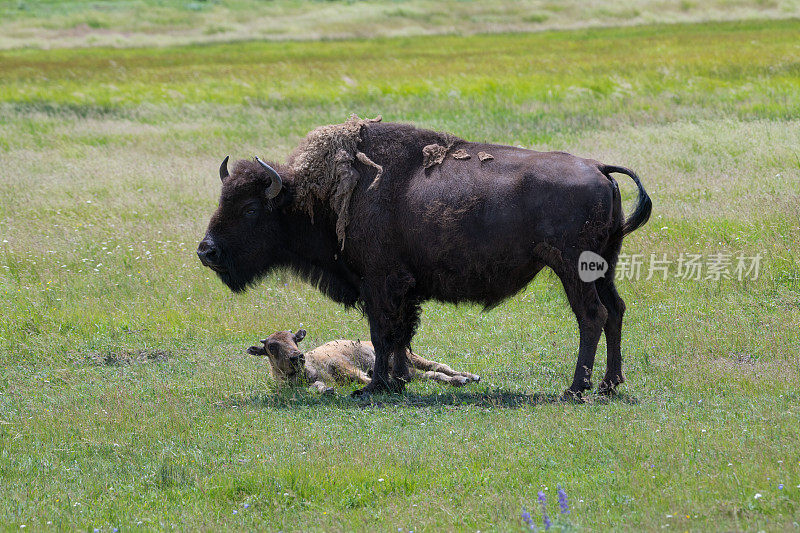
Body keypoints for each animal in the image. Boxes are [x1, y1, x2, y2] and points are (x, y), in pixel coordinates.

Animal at [247, 326, 478, 392]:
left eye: (295, 339)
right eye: (272, 347)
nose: (297, 356)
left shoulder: (340, 364)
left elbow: (361, 377)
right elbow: (318, 387)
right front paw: (327, 390)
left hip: (410, 357)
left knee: (437, 365)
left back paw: (470, 376)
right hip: (406, 367)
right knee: (430, 374)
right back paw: (462, 380)